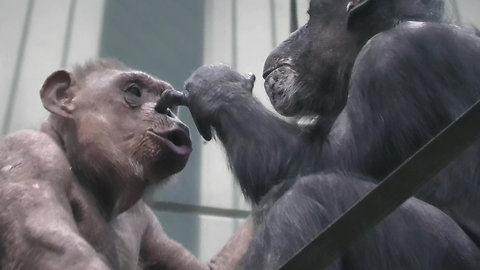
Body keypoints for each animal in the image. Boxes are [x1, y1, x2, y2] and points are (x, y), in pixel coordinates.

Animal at [0, 59, 214, 270]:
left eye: (170, 102)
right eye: (135, 91)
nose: (168, 112)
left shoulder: (147, 219)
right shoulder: (32, 152)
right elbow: (58, 250)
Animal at [157, 0, 480, 268]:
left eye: (310, 16)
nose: (293, 33)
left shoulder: (390, 58)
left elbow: (325, 160)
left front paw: (216, 87)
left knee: (308, 198)